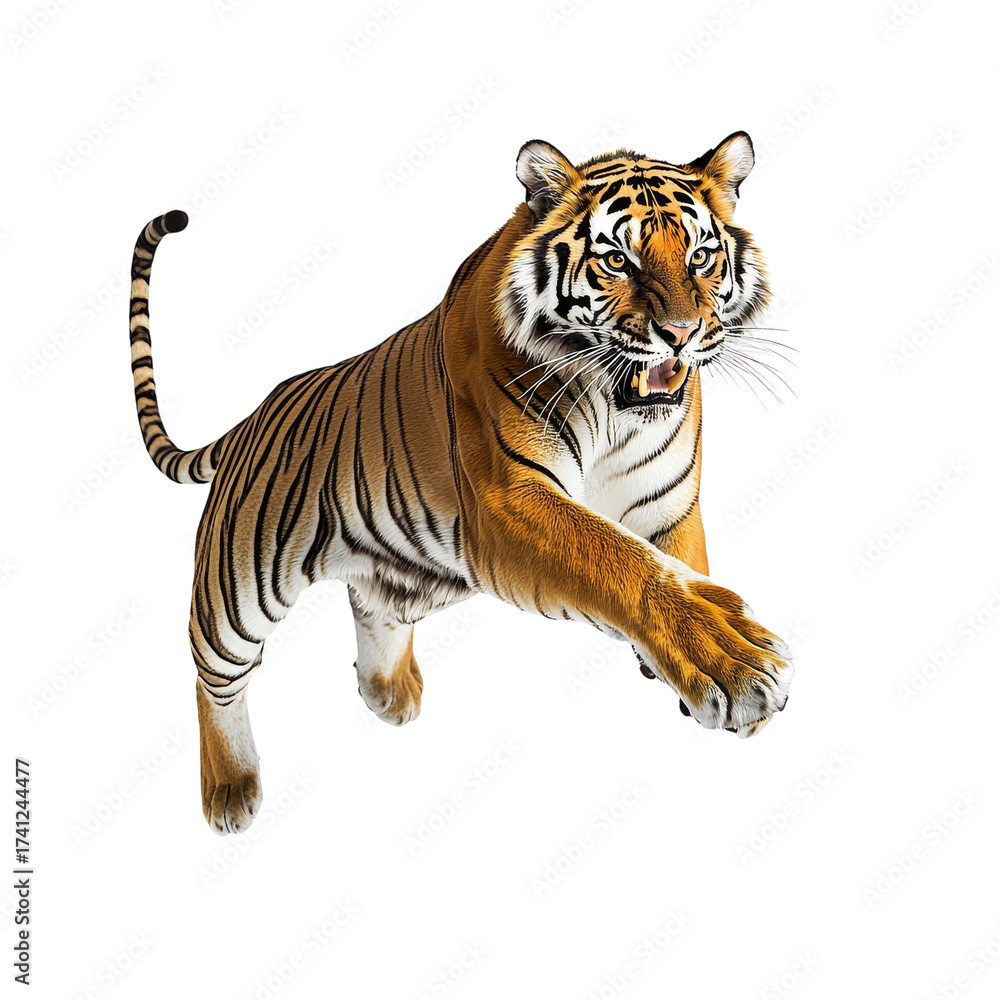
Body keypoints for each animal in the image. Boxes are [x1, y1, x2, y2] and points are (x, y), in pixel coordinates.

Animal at [128, 131, 794, 835]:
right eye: (617, 260)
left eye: (701, 257)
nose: (682, 335)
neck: (616, 412)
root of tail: (251, 419)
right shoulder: (510, 500)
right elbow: (623, 563)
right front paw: (734, 660)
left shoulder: (668, 504)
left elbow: (679, 563)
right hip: (239, 585)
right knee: (213, 676)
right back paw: (230, 789)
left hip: (413, 566)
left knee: (374, 604)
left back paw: (389, 693)